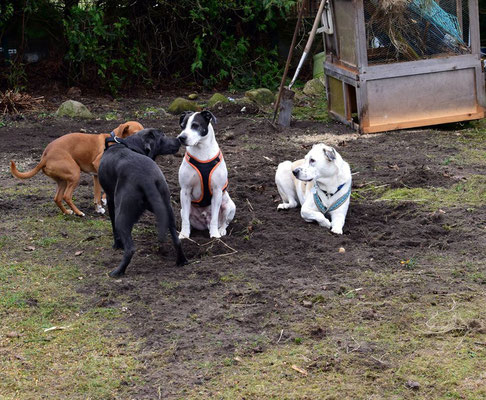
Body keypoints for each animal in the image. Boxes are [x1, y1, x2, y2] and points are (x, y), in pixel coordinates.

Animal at [10, 121, 143, 216]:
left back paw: (67, 212)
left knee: (57, 198)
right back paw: (79, 213)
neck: (115, 141)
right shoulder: (98, 168)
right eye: (137, 132)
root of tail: (45, 156)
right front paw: (103, 202)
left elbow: (96, 194)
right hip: (75, 174)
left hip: (63, 181)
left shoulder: (96, 175)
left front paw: (98, 208)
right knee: (66, 196)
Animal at [98, 130, 188, 276]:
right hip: (167, 209)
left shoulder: (110, 199)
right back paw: (182, 261)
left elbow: (113, 228)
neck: (129, 144)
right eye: (162, 135)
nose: (179, 139)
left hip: (122, 215)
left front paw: (117, 245)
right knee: (177, 240)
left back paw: (117, 272)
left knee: (130, 249)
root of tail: (146, 178)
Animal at [177, 111, 235, 239]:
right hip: (182, 209)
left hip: (229, 206)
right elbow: (185, 220)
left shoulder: (217, 191)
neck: (201, 150)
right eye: (182, 126)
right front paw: (184, 234)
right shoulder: (185, 190)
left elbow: (214, 218)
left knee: (224, 222)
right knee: (186, 217)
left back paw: (221, 230)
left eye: (195, 125)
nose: (181, 137)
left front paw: (214, 235)